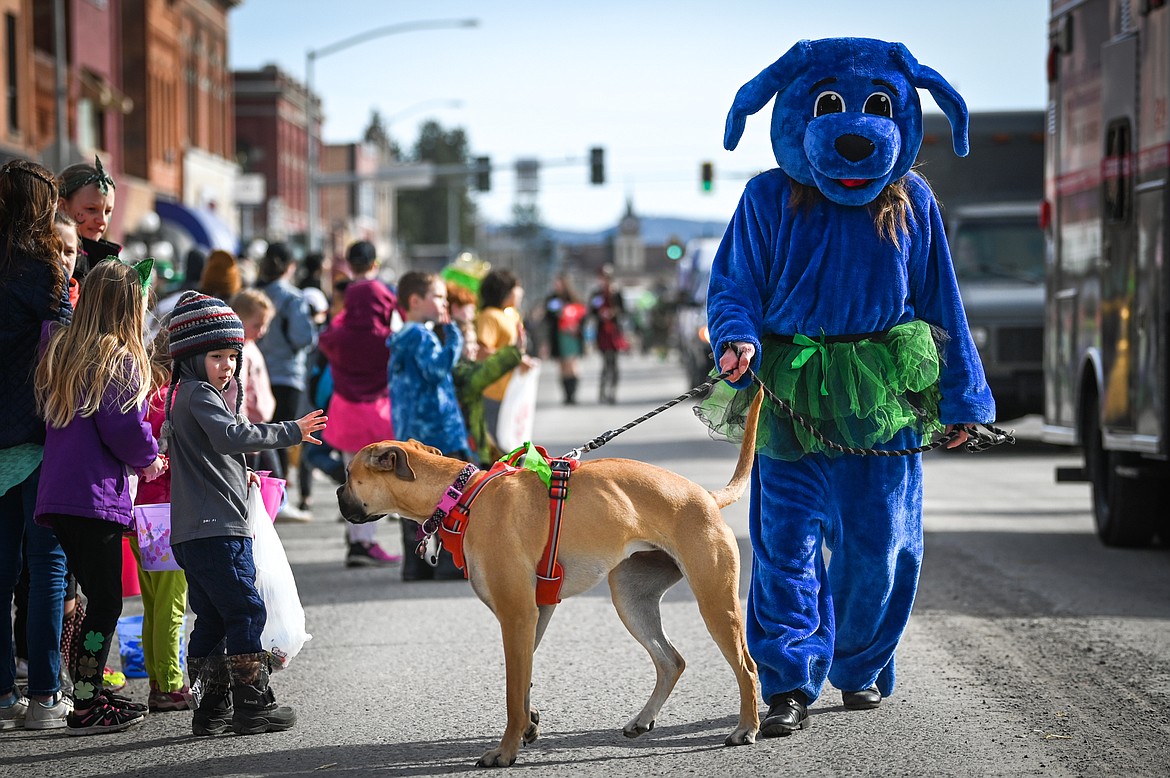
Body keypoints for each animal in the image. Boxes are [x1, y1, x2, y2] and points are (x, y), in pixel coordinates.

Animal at [334, 390, 762, 767]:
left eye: (348, 475)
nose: (337, 492)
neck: (462, 497)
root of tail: (706, 496)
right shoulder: (536, 613)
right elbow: (523, 683)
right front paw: (528, 725)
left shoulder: (517, 615)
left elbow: (512, 690)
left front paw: (505, 751)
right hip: (631, 600)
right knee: (671, 661)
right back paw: (643, 719)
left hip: (715, 604)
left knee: (747, 667)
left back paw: (747, 726)